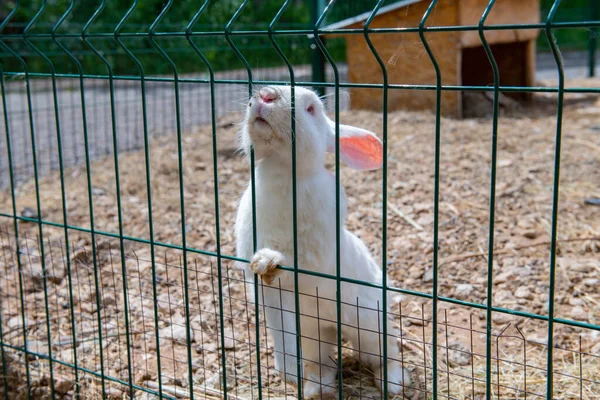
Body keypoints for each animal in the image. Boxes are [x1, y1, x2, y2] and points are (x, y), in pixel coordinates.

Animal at [237, 85, 410, 396]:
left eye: (311, 109)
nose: (266, 95)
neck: (284, 173)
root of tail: (335, 327)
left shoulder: (312, 258)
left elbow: (294, 265)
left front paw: (270, 259)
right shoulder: (270, 295)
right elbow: (279, 330)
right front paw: (288, 374)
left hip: (370, 327)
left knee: (386, 354)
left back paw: (393, 383)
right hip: (315, 335)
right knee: (325, 363)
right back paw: (314, 387)